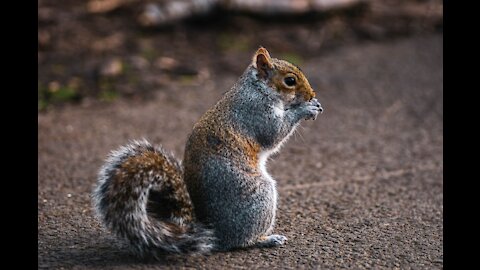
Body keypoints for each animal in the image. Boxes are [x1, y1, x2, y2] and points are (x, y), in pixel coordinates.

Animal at [92, 47, 322, 258]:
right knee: (241, 241)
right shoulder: (256, 113)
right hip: (260, 196)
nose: (312, 95)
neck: (258, 89)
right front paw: (306, 109)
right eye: (290, 80)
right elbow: (274, 133)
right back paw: (267, 239)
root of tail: (214, 233)